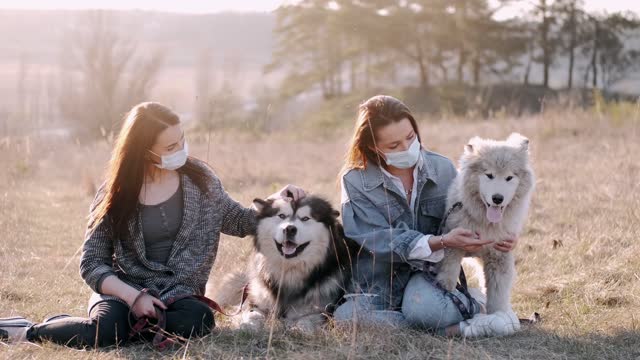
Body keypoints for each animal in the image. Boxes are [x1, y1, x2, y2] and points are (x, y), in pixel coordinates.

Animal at [214, 195, 356, 330]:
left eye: (305, 218)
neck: (289, 269)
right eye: (281, 216)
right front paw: (248, 326)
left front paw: (297, 328)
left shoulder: (320, 309)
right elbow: (252, 314)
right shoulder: (256, 299)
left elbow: (306, 321)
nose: (290, 229)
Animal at [436, 133, 536, 338]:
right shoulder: (453, 244)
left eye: (509, 177)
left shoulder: (499, 256)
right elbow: (449, 273)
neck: (485, 222)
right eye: (489, 175)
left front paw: (498, 316)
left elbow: (497, 296)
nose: (497, 198)